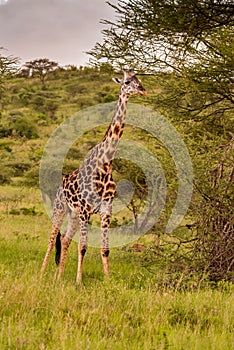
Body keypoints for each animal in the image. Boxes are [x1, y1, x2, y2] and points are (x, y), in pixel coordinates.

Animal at [40, 70, 146, 282]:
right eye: (127, 81)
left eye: (138, 80)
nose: (142, 89)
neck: (105, 165)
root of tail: (60, 185)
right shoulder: (86, 210)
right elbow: (83, 246)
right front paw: (79, 281)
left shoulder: (106, 209)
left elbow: (105, 249)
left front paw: (108, 280)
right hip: (60, 208)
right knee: (52, 239)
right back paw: (41, 274)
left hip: (73, 214)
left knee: (65, 239)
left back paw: (59, 277)